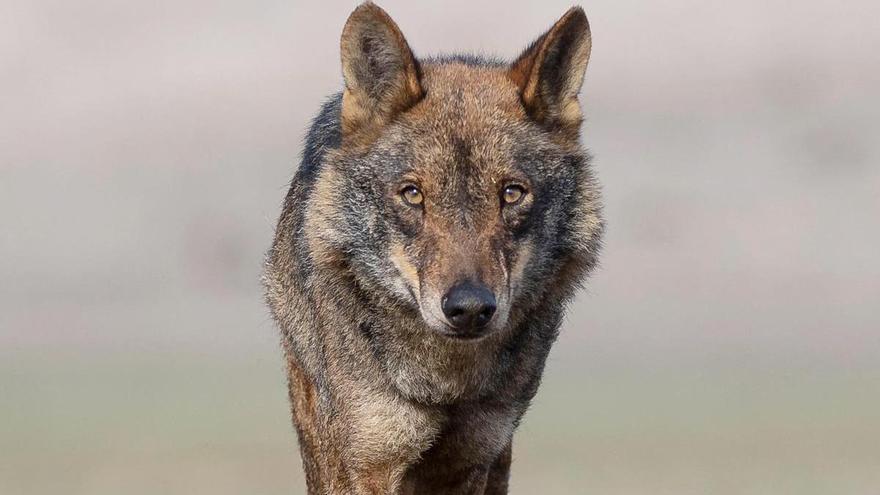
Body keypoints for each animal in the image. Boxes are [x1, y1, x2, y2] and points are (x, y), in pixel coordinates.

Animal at [264, 2, 602, 493]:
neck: (444, 382)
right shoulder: (366, 462)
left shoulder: (472, 458)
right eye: (412, 194)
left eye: (512, 193)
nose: (469, 308)